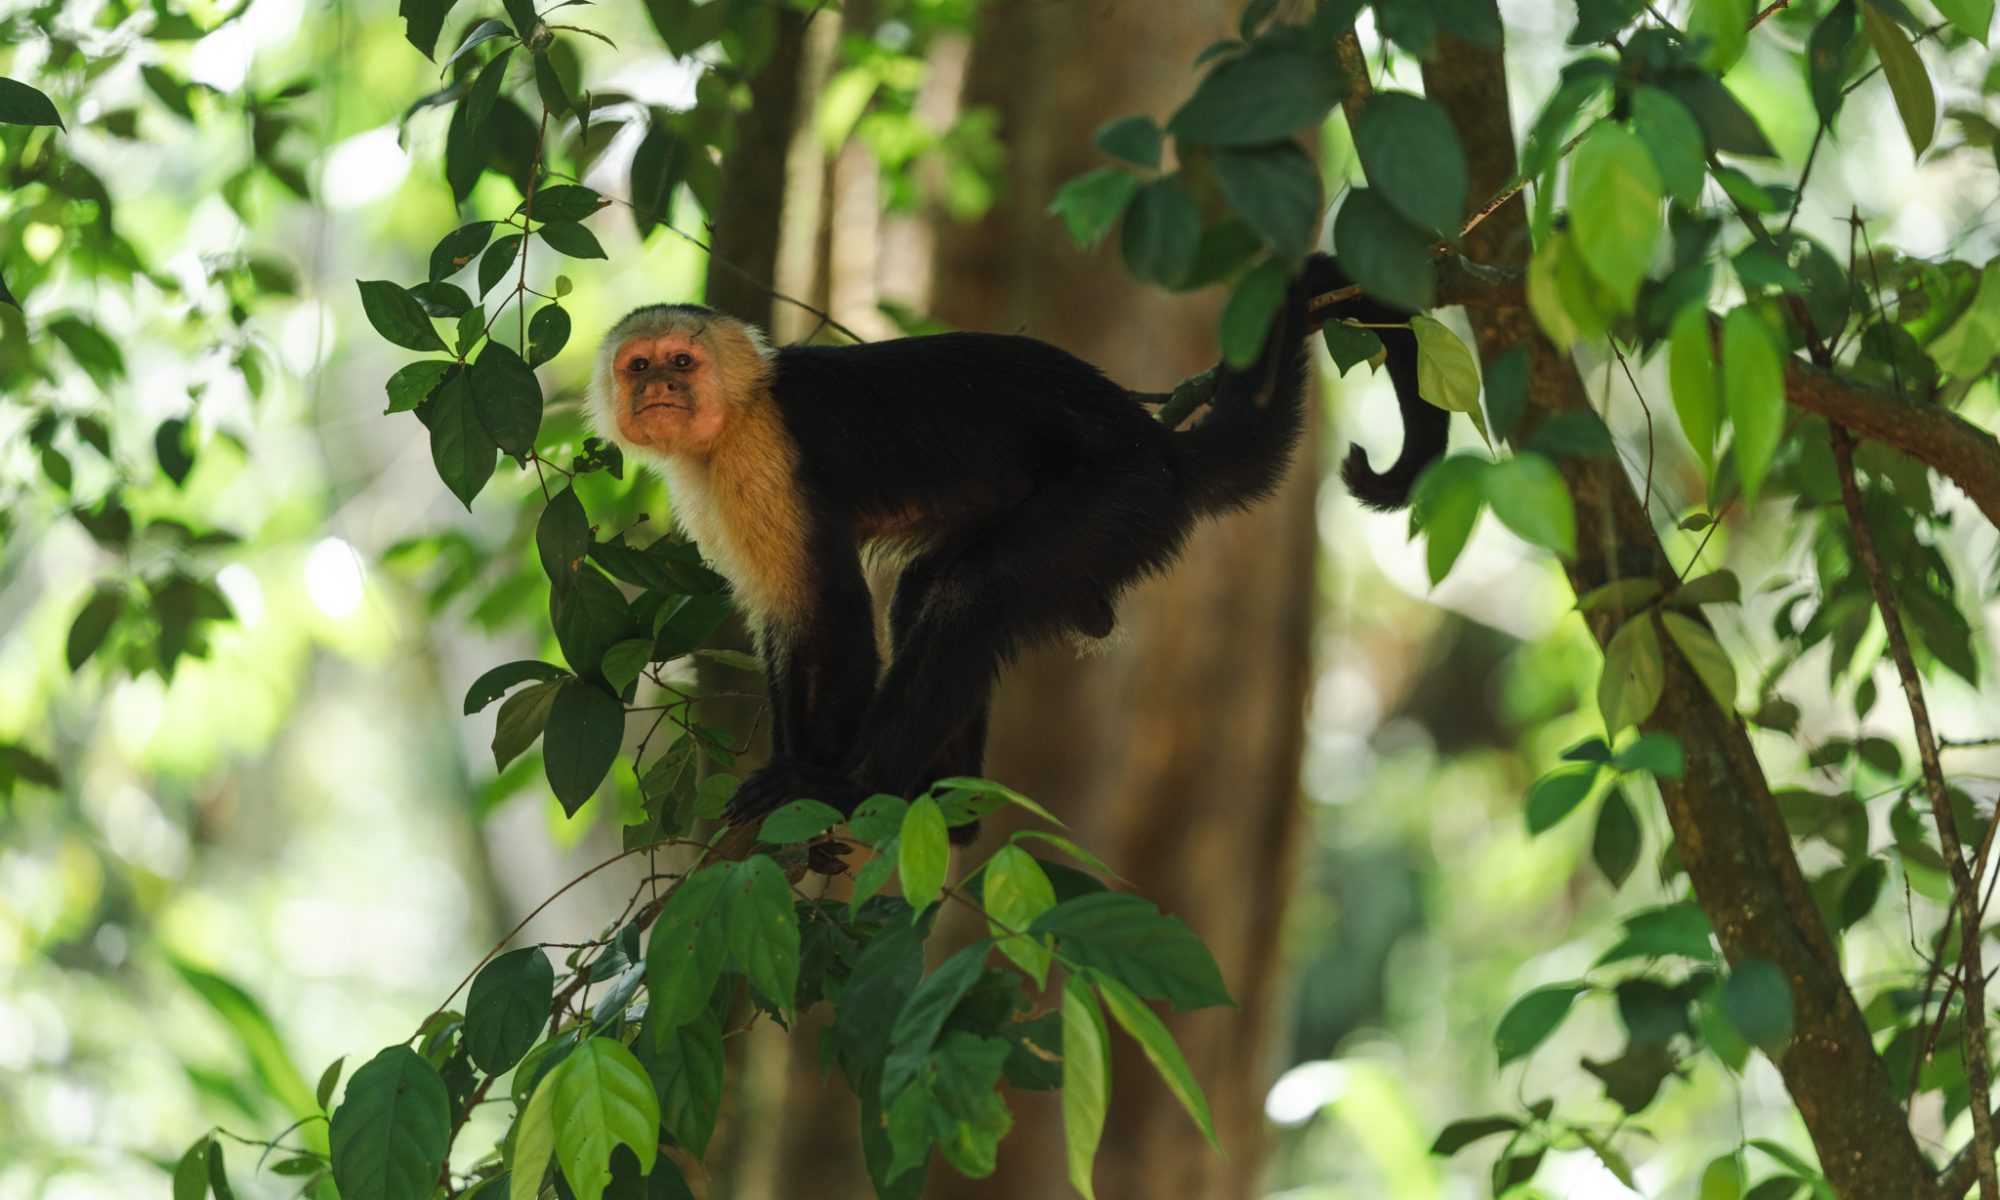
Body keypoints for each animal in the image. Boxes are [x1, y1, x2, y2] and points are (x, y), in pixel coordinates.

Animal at [589, 253, 1444, 840]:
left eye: (683, 361)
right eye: (639, 365)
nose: (657, 390)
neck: (736, 416)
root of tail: (1157, 446)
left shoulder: (762, 455)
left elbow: (826, 613)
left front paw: (809, 787)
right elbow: (783, 616)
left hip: (1119, 497)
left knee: (979, 593)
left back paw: (867, 786)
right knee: (927, 590)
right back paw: (943, 800)